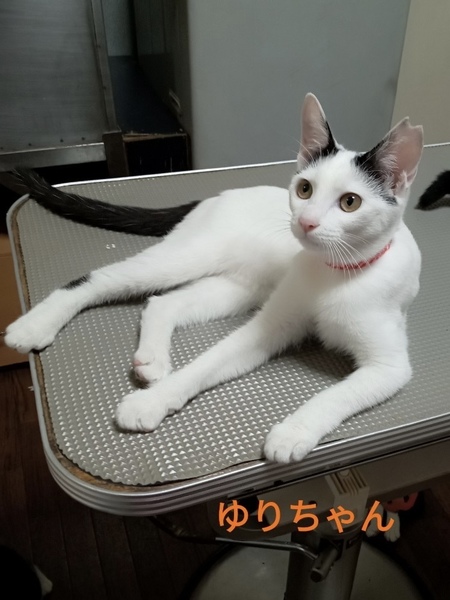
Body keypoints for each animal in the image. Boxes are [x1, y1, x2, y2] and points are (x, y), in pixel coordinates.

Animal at [5, 94, 423, 464]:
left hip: (239, 288)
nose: (306, 222)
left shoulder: (388, 366)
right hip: (187, 257)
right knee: (99, 278)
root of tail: (218, 195)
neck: (334, 273)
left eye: (350, 202)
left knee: (162, 302)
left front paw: (292, 432)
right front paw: (152, 402)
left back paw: (152, 359)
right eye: (305, 189)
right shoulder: (269, 325)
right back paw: (34, 326)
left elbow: (335, 395)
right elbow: (206, 362)